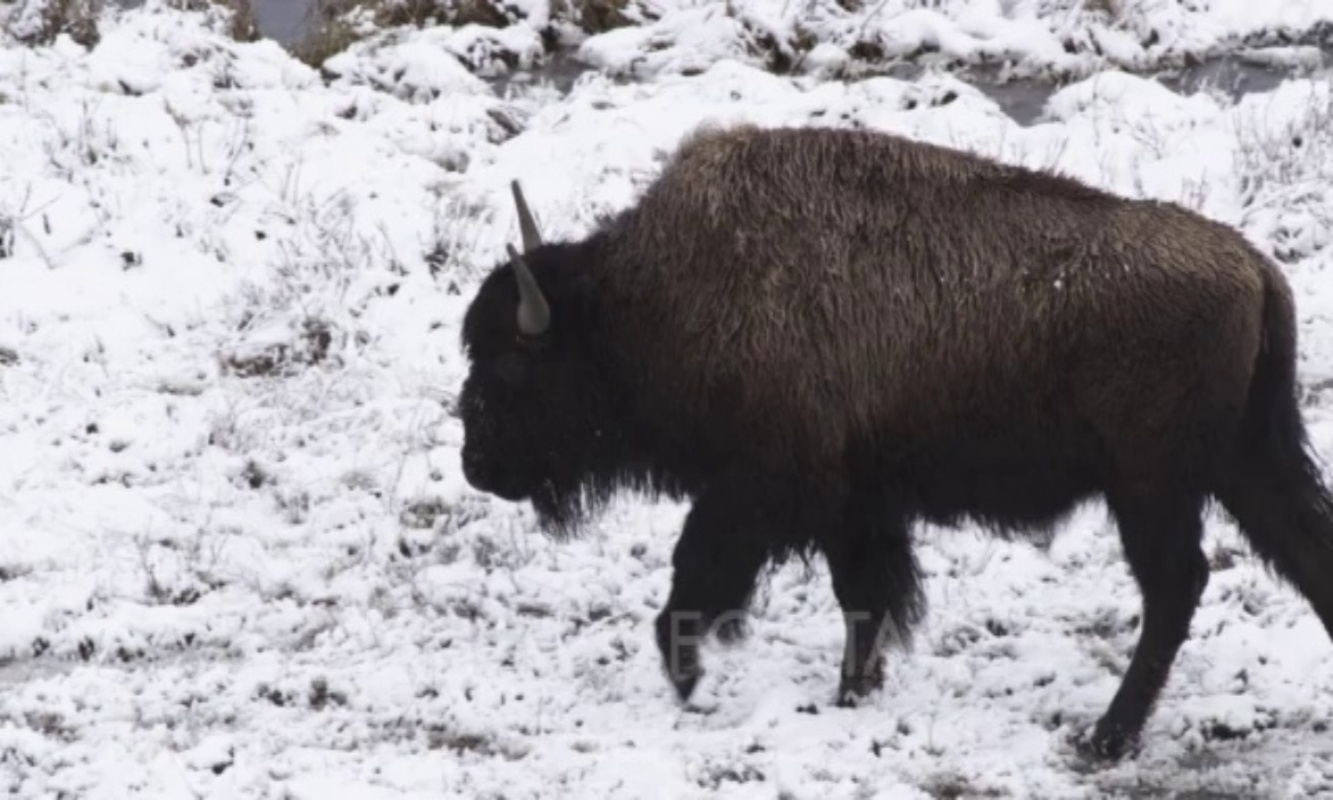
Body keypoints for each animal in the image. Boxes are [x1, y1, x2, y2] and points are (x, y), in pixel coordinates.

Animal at [457, 122, 1333, 759]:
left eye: (508, 365)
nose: (473, 461)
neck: (646, 302)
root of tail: (1254, 270)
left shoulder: (764, 487)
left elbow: (703, 570)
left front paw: (686, 675)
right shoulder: (855, 501)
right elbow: (865, 596)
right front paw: (853, 692)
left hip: (1151, 484)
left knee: (1174, 587)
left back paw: (1105, 739)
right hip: (1244, 464)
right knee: (1300, 552)